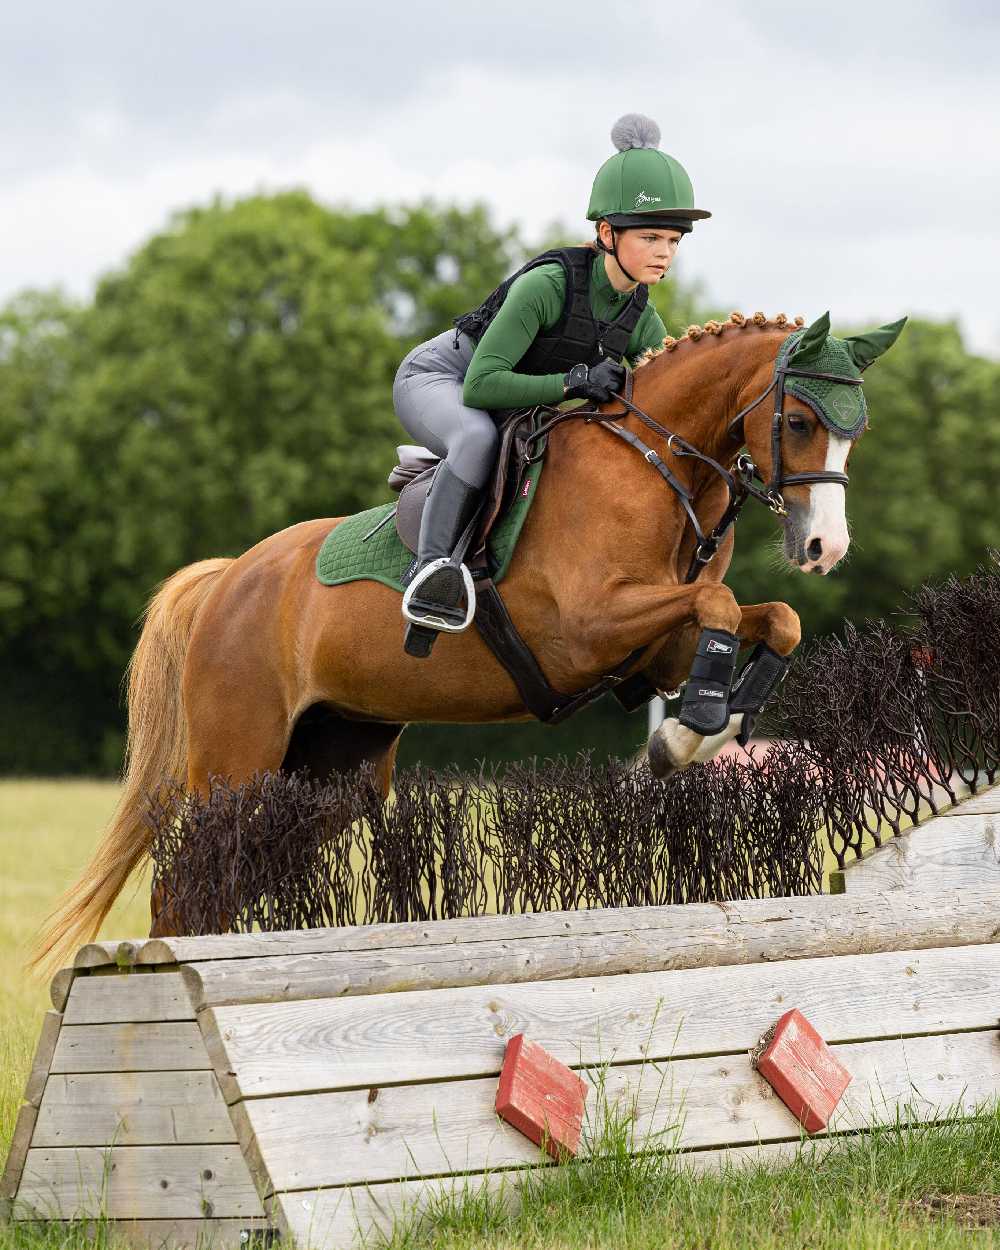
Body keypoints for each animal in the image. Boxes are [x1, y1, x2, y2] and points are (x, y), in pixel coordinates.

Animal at [33, 307, 900, 970]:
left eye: (857, 433)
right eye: (798, 421)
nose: (824, 548)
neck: (654, 464)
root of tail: (226, 579)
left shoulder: (659, 648)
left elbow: (767, 617)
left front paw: (708, 726)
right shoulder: (585, 629)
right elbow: (717, 602)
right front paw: (684, 738)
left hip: (329, 770)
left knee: (231, 878)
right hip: (235, 764)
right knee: (183, 886)